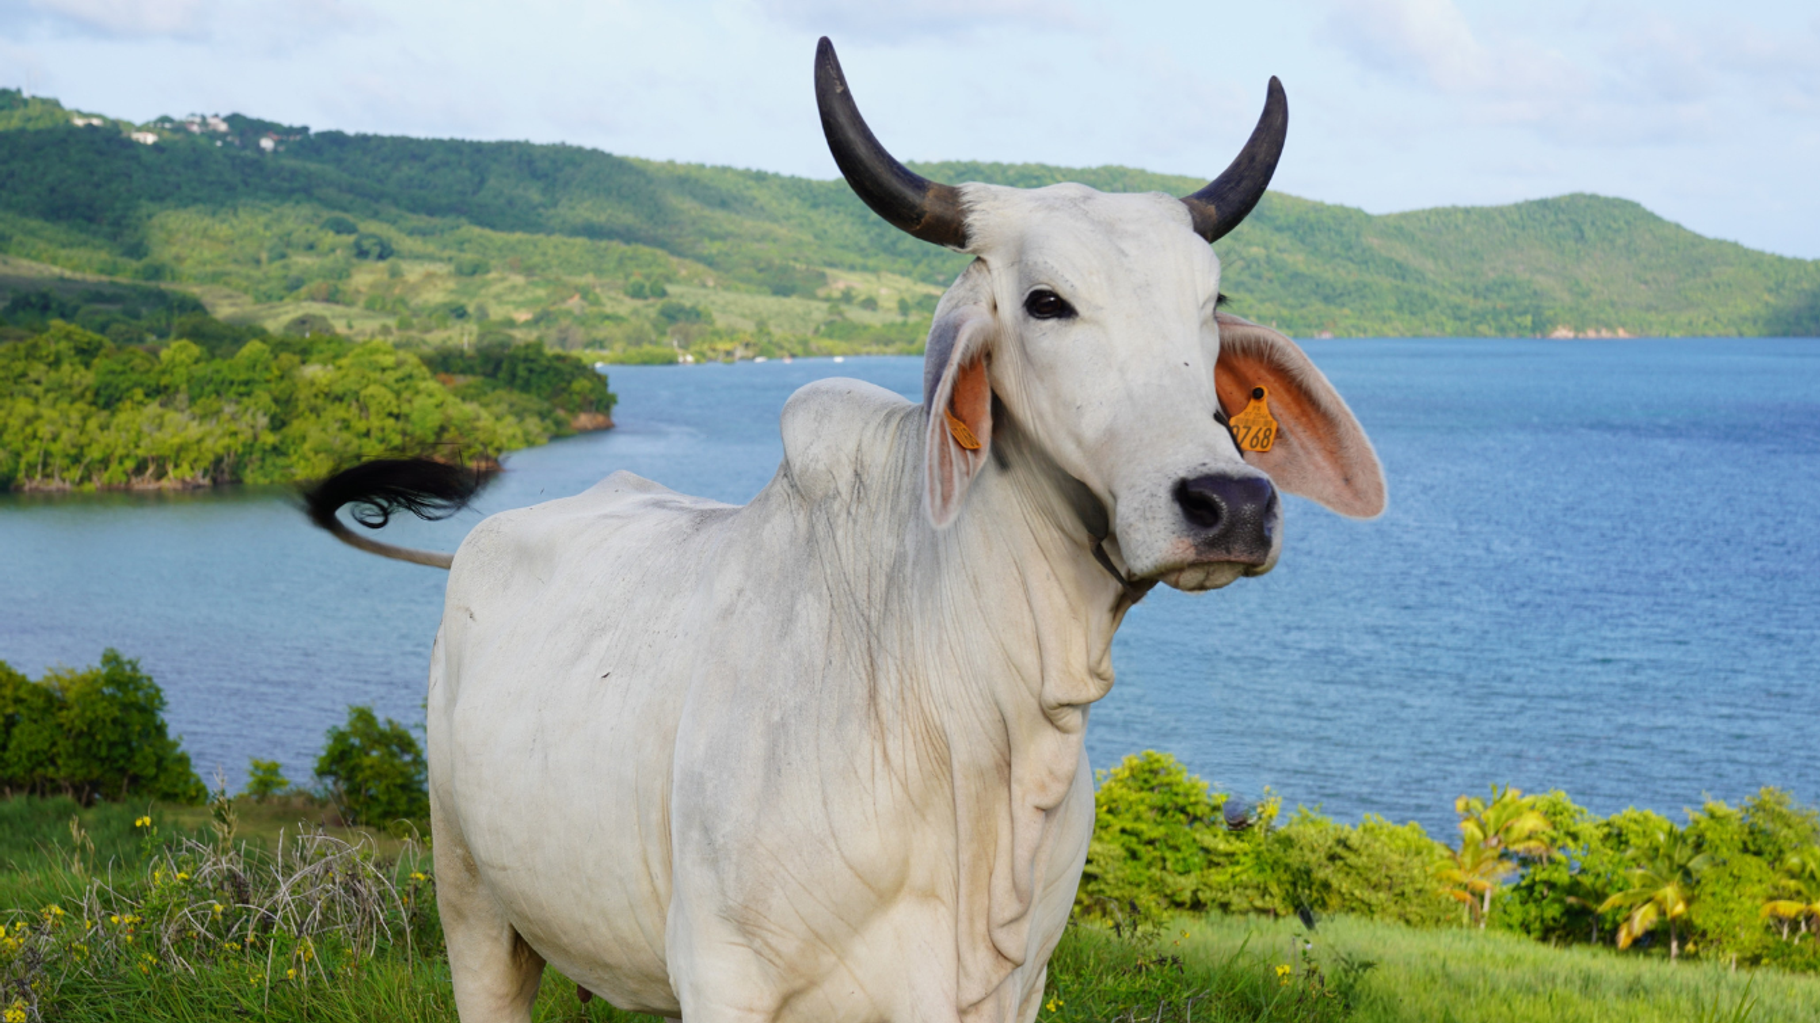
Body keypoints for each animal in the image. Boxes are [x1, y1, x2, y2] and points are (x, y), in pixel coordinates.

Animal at [304, 37, 1385, 1023]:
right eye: (1046, 302)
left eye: (1211, 304)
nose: (1229, 503)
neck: (969, 719)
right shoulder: (724, 977)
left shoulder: (1016, 989)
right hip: (473, 906)